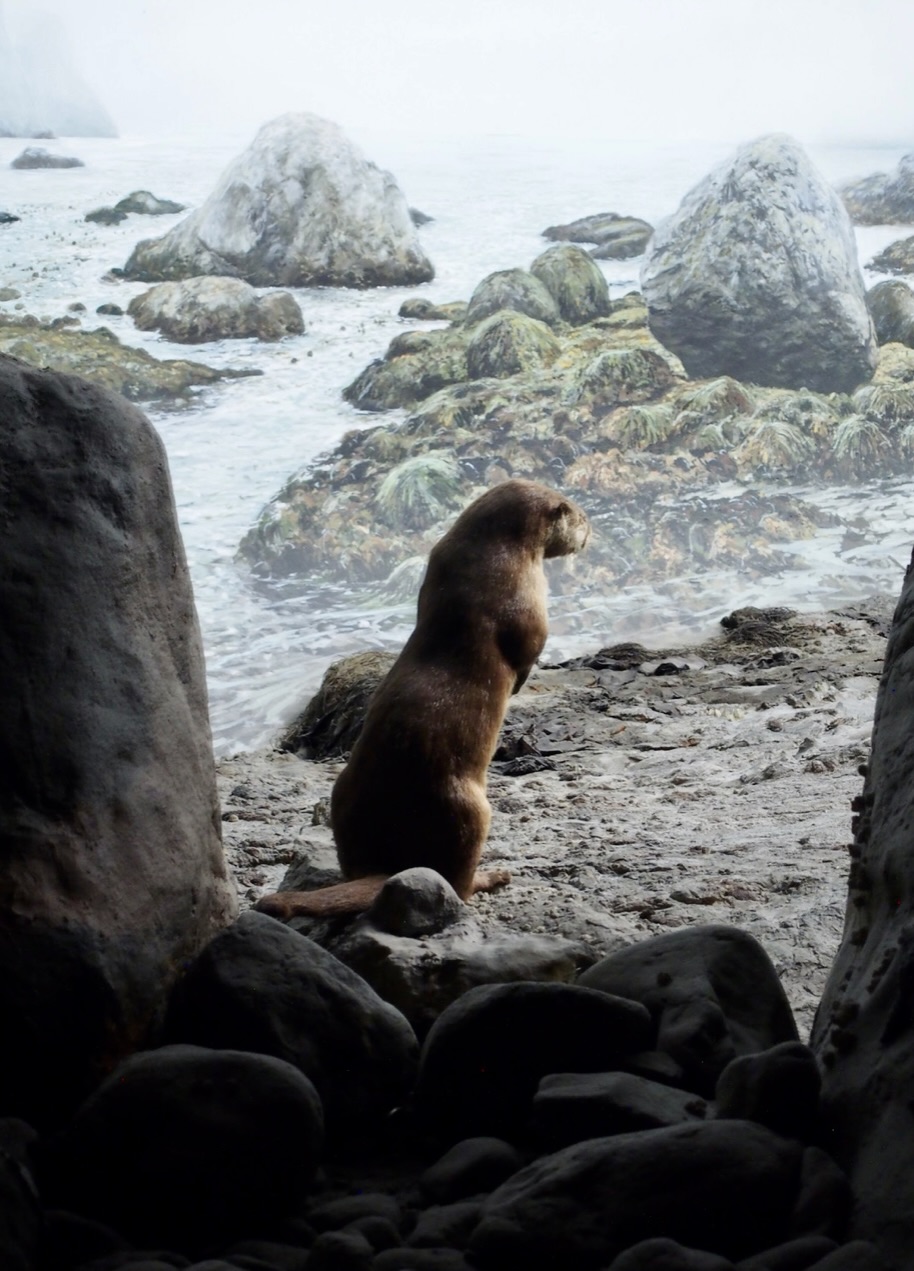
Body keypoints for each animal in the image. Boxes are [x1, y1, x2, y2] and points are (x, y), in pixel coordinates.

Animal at [255, 479, 590, 919]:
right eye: (580, 517)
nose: (589, 533)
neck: (488, 560)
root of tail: (388, 864)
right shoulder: (529, 598)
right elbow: (527, 649)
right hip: (469, 810)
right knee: (457, 881)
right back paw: (492, 876)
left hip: (343, 794)